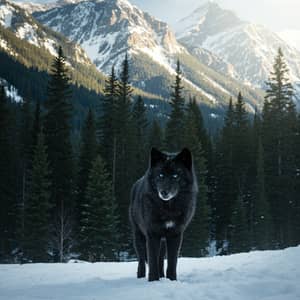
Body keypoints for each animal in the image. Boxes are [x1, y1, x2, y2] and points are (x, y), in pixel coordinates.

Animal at [128, 148, 197, 282]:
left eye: (175, 176)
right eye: (161, 175)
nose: (164, 192)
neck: (168, 209)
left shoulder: (175, 235)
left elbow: (172, 262)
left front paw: (172, 280)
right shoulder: (152, 234)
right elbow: (152, 261)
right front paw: (153, 281)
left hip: (163, 241)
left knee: (160, 259)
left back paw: (162, 276)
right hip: (139, 236)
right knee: (141, 260)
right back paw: (141, 277)